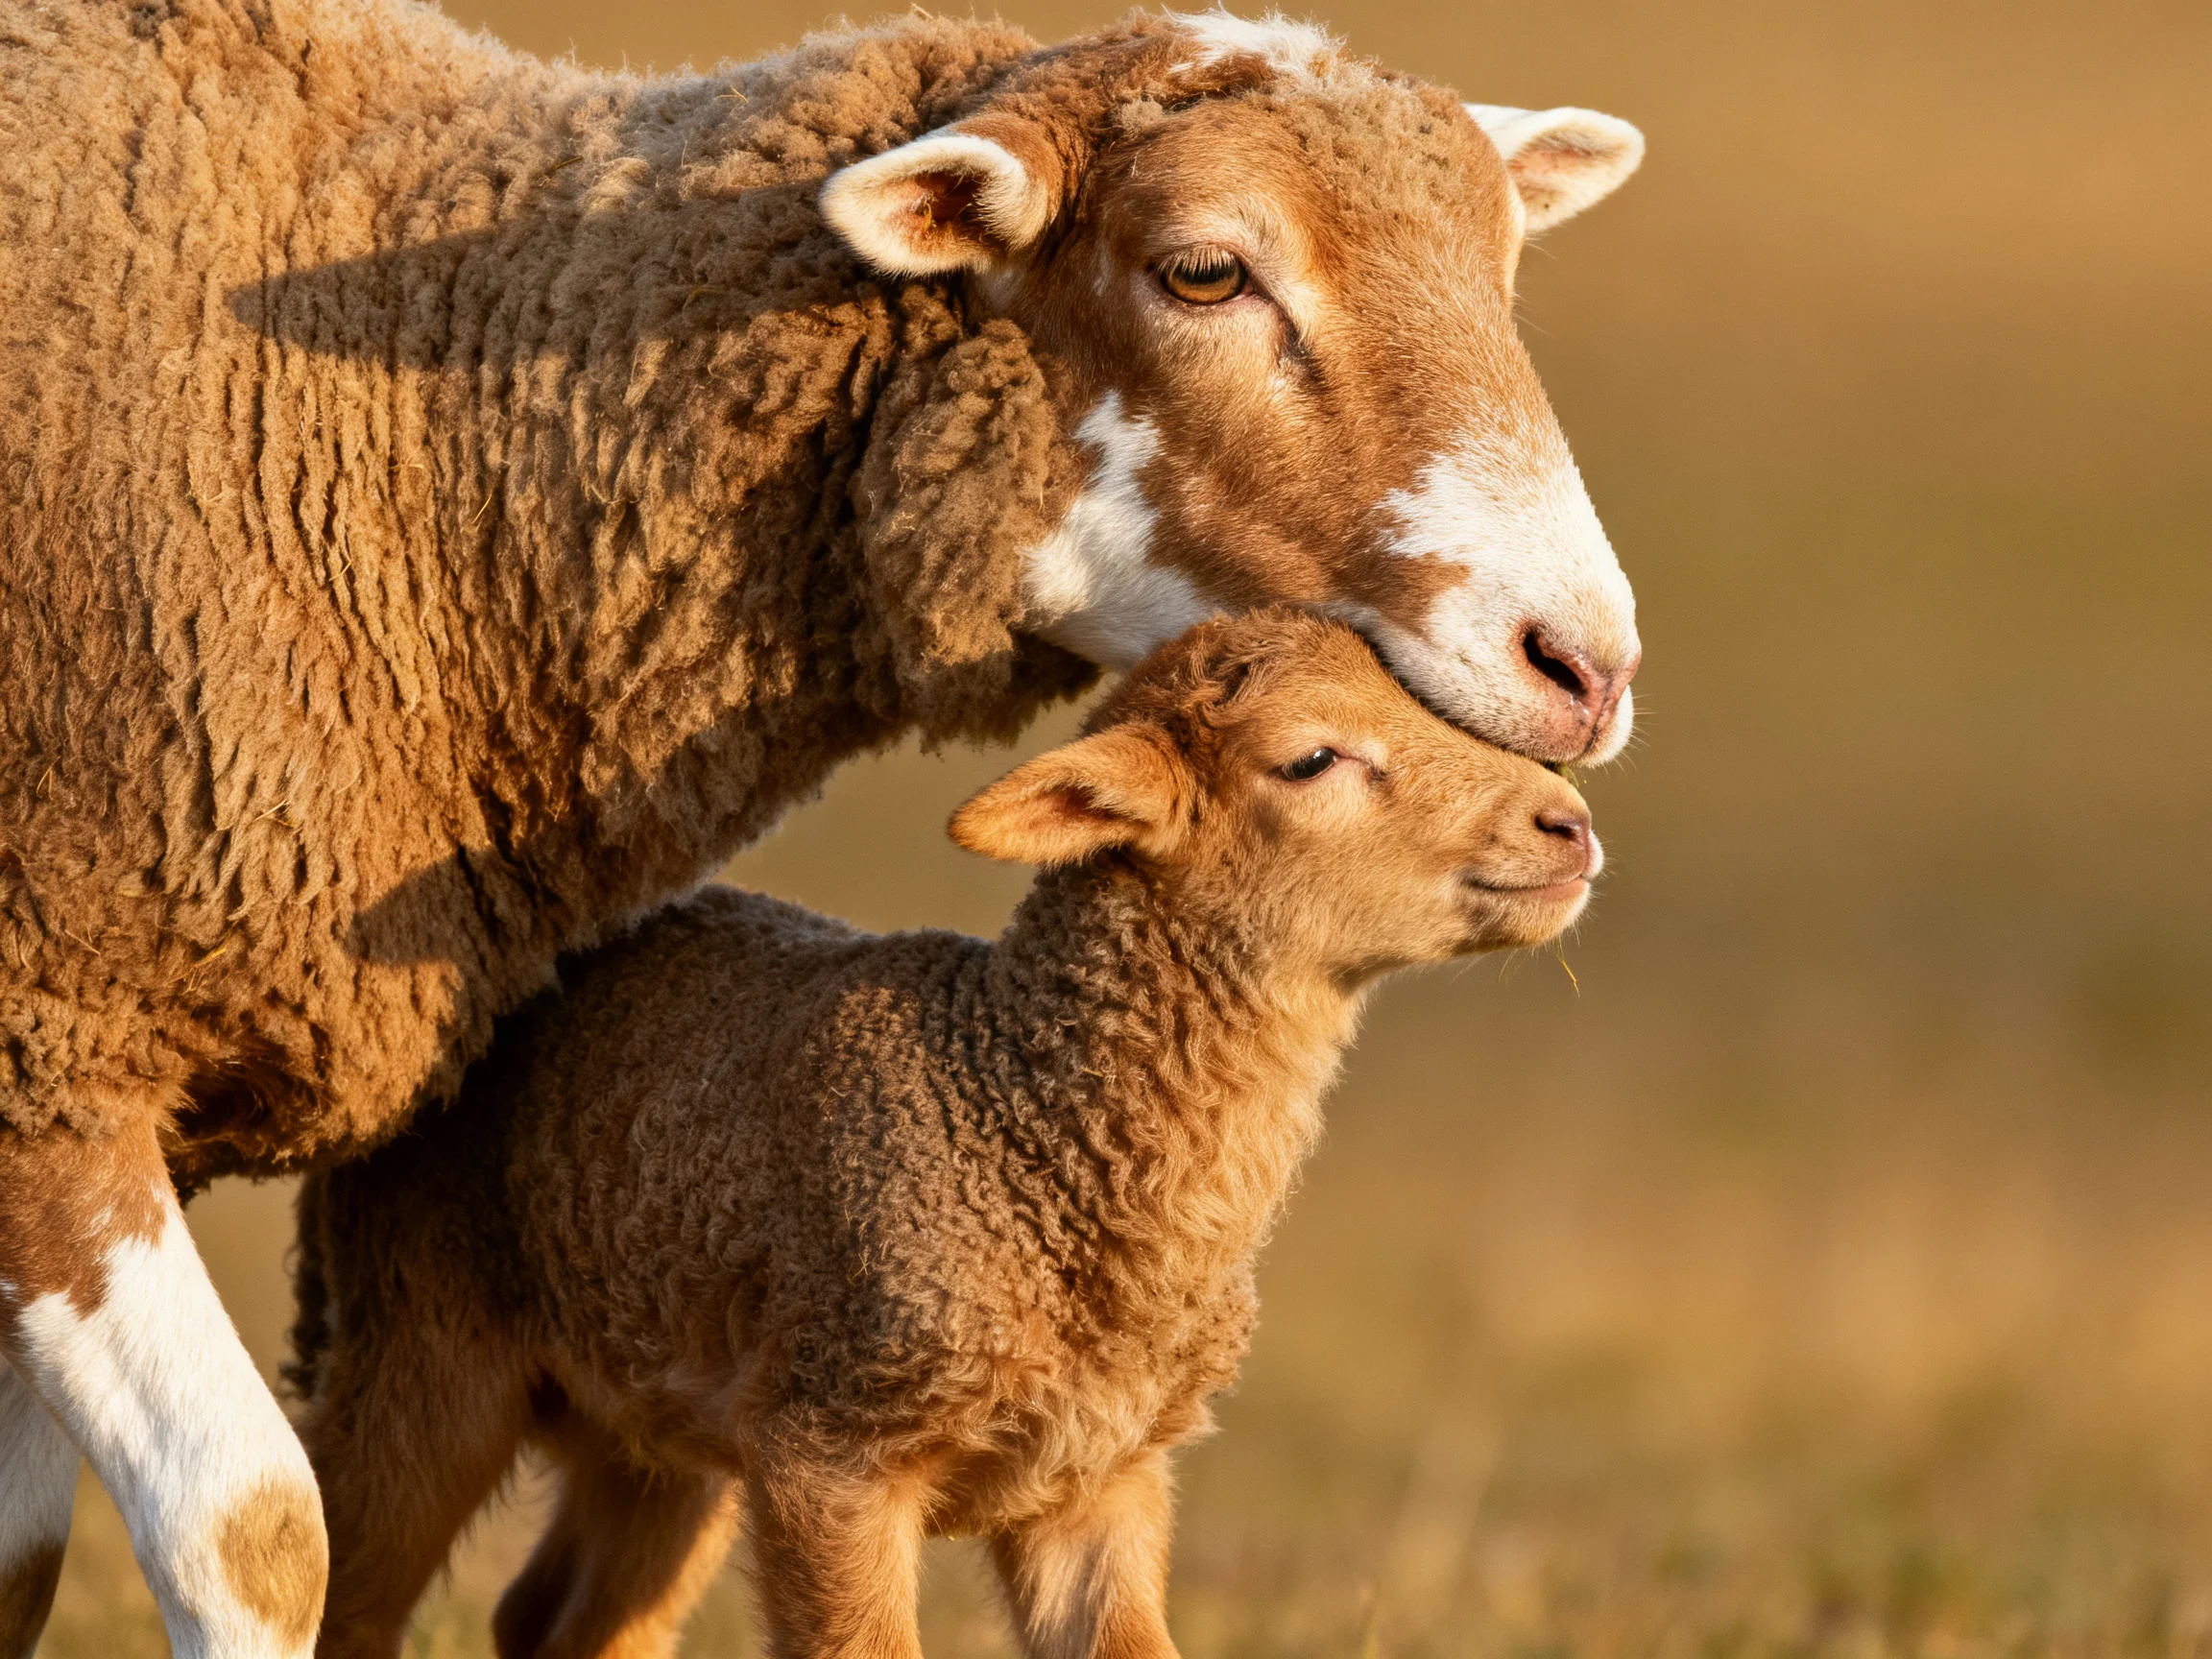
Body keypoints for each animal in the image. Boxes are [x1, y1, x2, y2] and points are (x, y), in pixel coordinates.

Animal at [288, 609, 1602, 1658]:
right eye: (1313, 757)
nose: (1569, 824)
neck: (1020, 1115)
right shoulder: (836, 1452)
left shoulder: (1099, 1483)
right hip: (424, 1343)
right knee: (346, 1595)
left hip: (656, 1417)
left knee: (564, 1621)